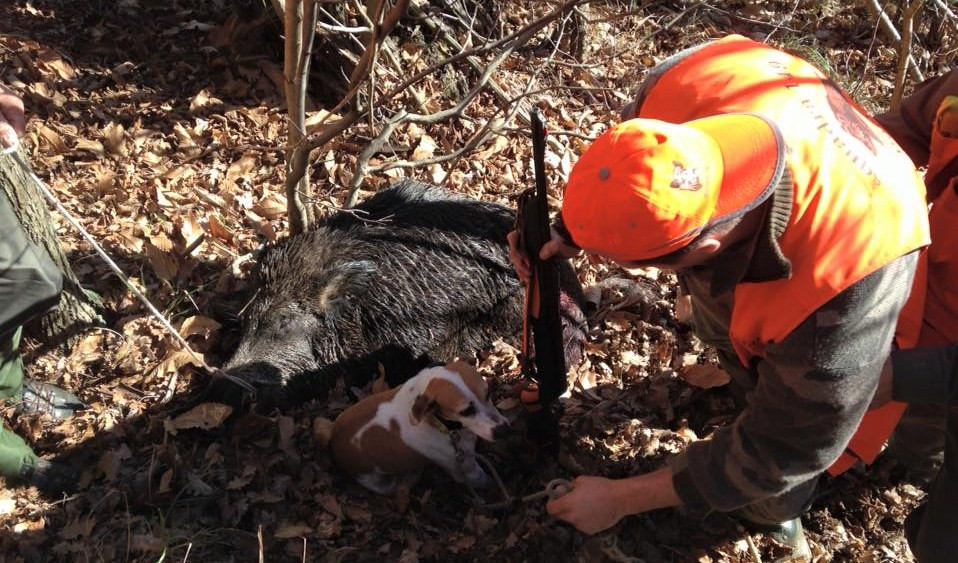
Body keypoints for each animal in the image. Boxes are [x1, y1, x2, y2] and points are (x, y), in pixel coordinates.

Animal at [330, 362, 510, 494]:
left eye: (488, 393)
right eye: (466, 411)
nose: (504, 431)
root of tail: (332, 444)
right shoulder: (465, 467)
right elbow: (483, 479)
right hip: (380, 482)